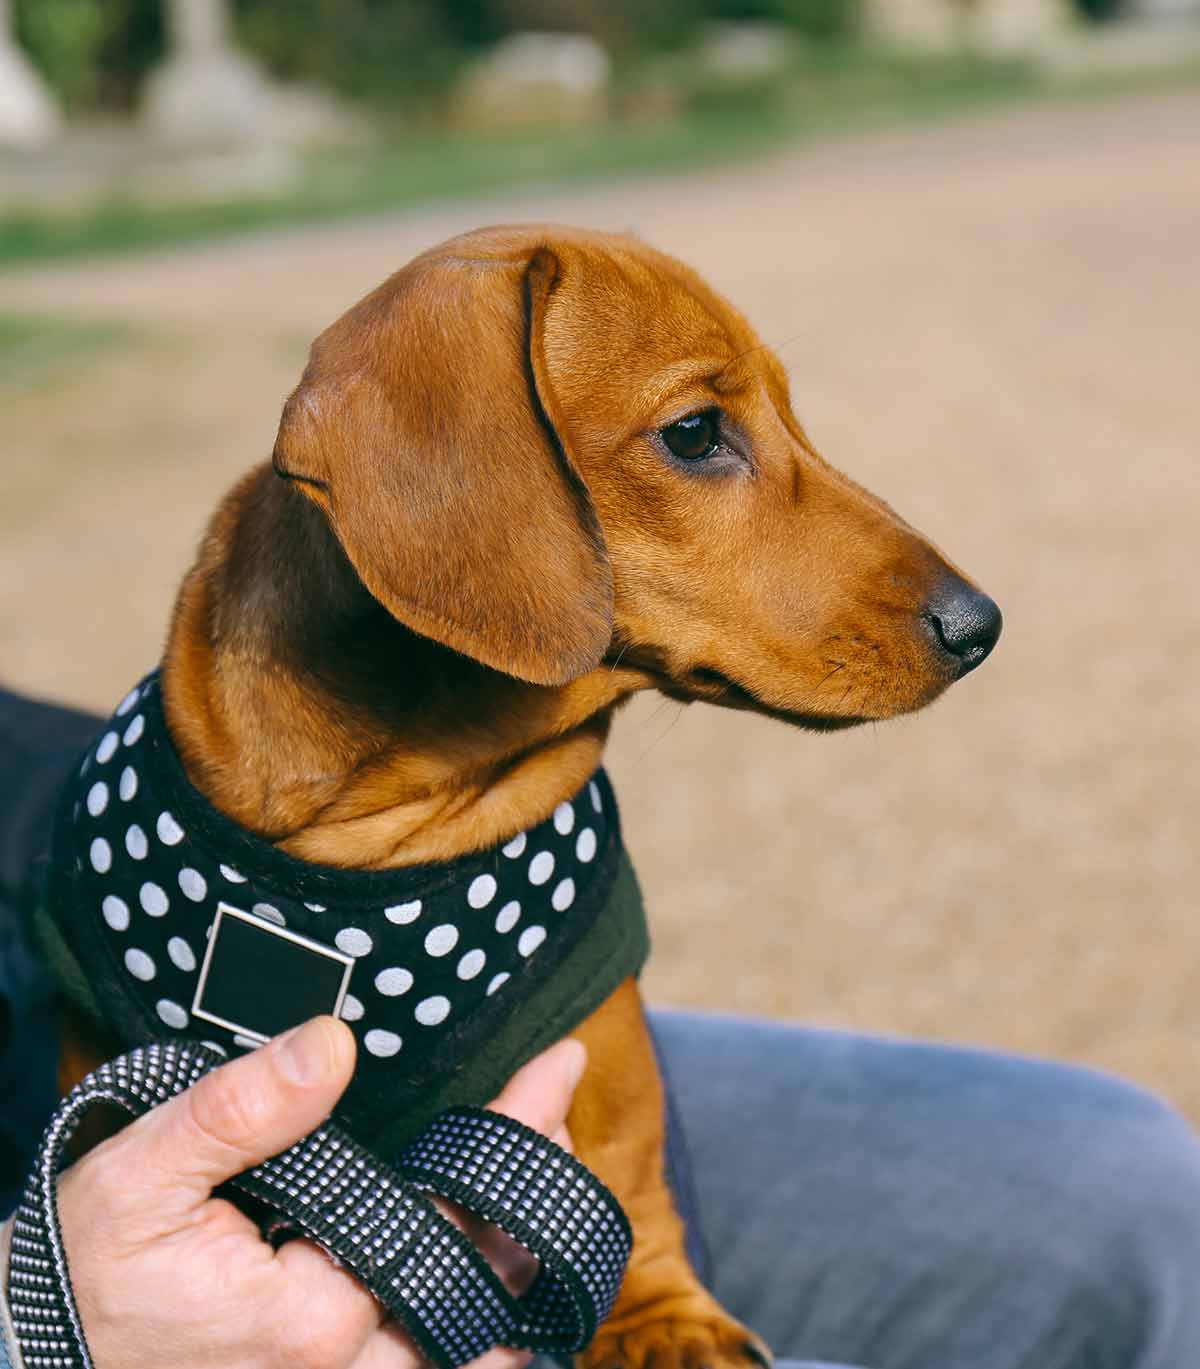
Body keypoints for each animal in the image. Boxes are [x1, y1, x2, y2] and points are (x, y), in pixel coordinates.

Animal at [56, 224, 996, 1369]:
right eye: (695, 432)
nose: (981, 625)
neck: (363, 850)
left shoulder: (600, 1029)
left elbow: (624, 1173)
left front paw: (664, 1320)